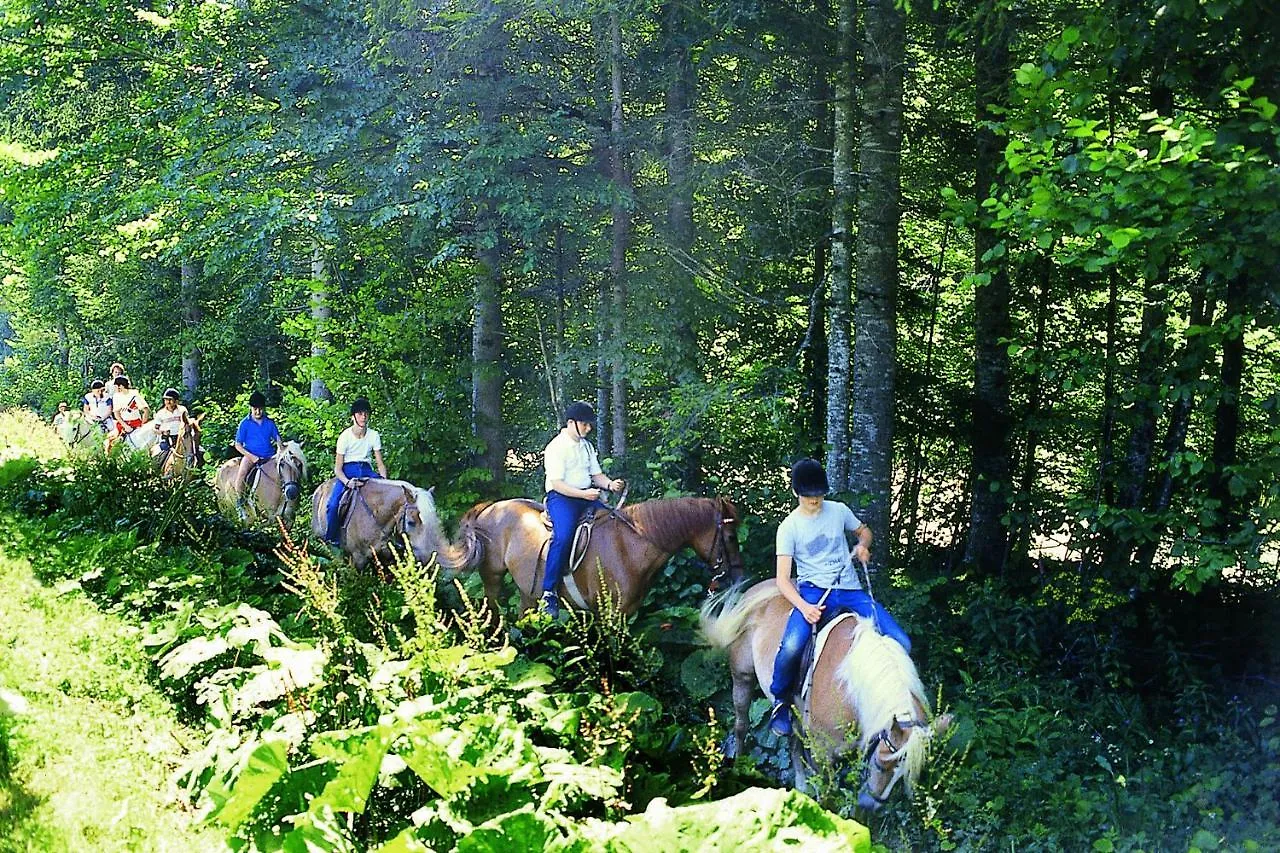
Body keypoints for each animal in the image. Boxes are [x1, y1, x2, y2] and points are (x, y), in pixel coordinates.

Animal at [450, 494, 747, 614]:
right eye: (731, 537)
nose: (740, 578)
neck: (628, 546)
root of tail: (490, 508)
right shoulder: (609, 614)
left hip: (527, 592)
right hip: (492, 578)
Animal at [701, 578, 952, 809]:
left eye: (907, 774)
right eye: (882, 764)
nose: (872, 805)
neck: (851, 692)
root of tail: (757, 589)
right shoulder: (822, 754)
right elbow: (828, 795)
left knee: (792, 741)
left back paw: (800, 786)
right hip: (742, 677)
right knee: (741, 725)